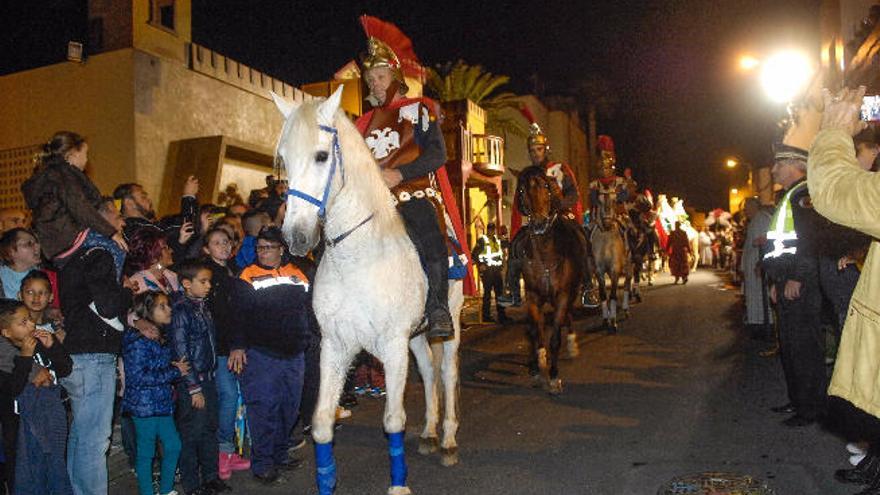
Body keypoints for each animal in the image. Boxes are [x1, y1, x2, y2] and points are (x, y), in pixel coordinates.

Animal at [274, 86, 468, 495]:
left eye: (321, 155)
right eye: (284, 159)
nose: (297, 238)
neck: (357, 259)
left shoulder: (391, 346)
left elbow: (393, 420)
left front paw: (398, 486)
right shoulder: (336, 346)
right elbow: (321, 424)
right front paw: (326, 480)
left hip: (450, 321)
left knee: (446, 372)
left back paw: (447, 439)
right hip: (415, 334)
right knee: (428, 371)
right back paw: (429, 433)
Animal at [512, 167, 588, 396]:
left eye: (547, 186)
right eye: (521, 190)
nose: (538, 223)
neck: (545, 254)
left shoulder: (563, 294)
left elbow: (554, 338)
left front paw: (554, 377)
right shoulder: (533, 295)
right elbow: (535, 331)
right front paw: (537, 368)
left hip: (570, 293)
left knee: (567, 316)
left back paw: (571, 345)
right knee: (534, 328)